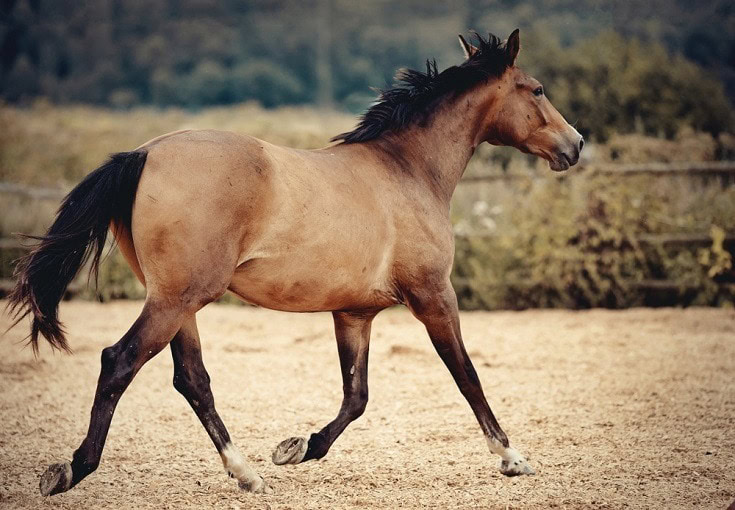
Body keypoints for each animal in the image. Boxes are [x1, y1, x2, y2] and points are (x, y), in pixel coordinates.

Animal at [7, 29, 583, 496]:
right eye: (536, 90)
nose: (576, 145)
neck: (407, 170)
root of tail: (145, 152)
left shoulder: (354, 313)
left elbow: (356, 395)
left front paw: (297, 448)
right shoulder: (433, 295)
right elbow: (466, 375)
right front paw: (511, 457)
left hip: (177, 301)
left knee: (192, 379)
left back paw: (246, 473)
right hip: (176, 300)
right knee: (119, 362)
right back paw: (71, 470)